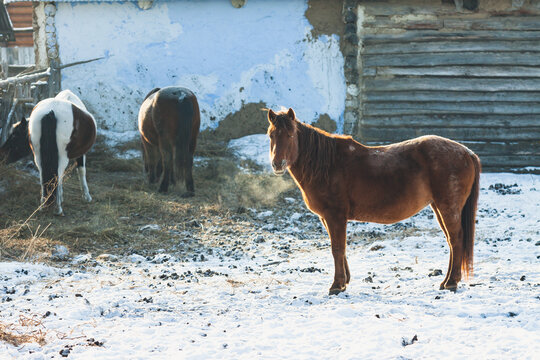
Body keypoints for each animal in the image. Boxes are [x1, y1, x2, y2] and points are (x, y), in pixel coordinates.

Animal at [268, 108, 484, 294]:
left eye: (291, 135)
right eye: (271, 135)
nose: (277, 164)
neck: (327, 165)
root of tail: (467, 152)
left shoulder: (334, 216)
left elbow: (337, 248)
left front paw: (337, 286)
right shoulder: (328, 218)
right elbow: (340, 248)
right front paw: (345, 280)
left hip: (448, 207)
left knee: (456, 239)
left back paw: (452, 283)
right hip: (439, 207)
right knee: (451, 241)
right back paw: (446, 281)